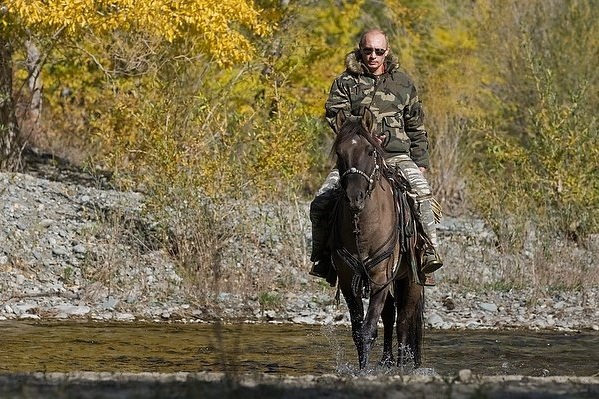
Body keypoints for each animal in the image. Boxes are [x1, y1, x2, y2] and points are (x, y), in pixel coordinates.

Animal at [328, 107, 426, 372]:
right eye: (339, 152)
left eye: (370, 151)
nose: (355, 197)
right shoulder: (349, 280)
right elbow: (358, 330)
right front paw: (363, 369)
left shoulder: (381, 277)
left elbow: (369, 328)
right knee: (390, 316)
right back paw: (386, 361)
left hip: (411, 280)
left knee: (403, 321)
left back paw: (401, 365)